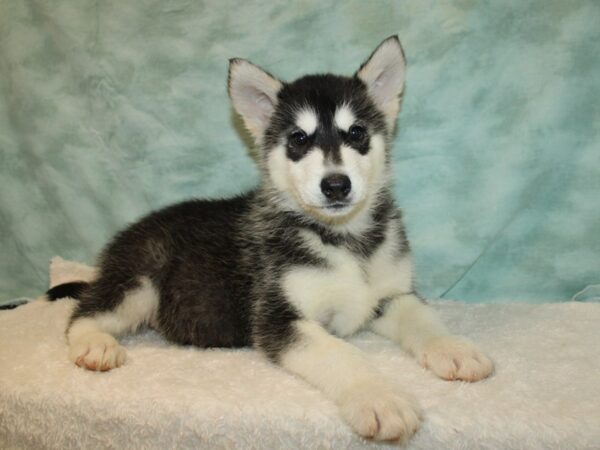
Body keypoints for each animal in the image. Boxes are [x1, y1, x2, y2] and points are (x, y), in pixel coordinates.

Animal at [49, 36, 492, 442]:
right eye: (299, 139)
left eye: (357, 133)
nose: (336, 185)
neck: (343, 239)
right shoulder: (278, 319)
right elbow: (341, 353)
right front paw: (380, 397)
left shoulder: (391, 295)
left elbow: (423, 318)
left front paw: (454, 348)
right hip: (141, 281)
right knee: (83, 313)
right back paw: (95, 345)